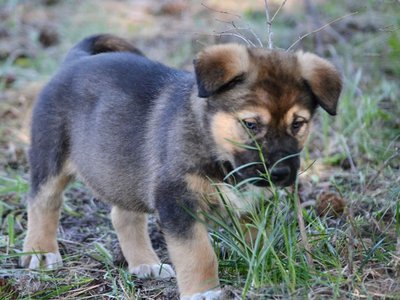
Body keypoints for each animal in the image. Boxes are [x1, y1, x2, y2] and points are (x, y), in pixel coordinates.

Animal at [21, 34, 340, 298]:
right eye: (251, 124)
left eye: (298, 124)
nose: (281, 174)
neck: (214, 146)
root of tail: (76, 59)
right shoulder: (177, 200)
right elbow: (198, 253)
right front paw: (203, 292)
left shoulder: (253, 203)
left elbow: (257, 238)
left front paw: (265, 267)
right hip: (50, 155)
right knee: (43, 202)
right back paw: (41, 253)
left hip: (126, 170)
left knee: (123, 216)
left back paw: (145, 264)